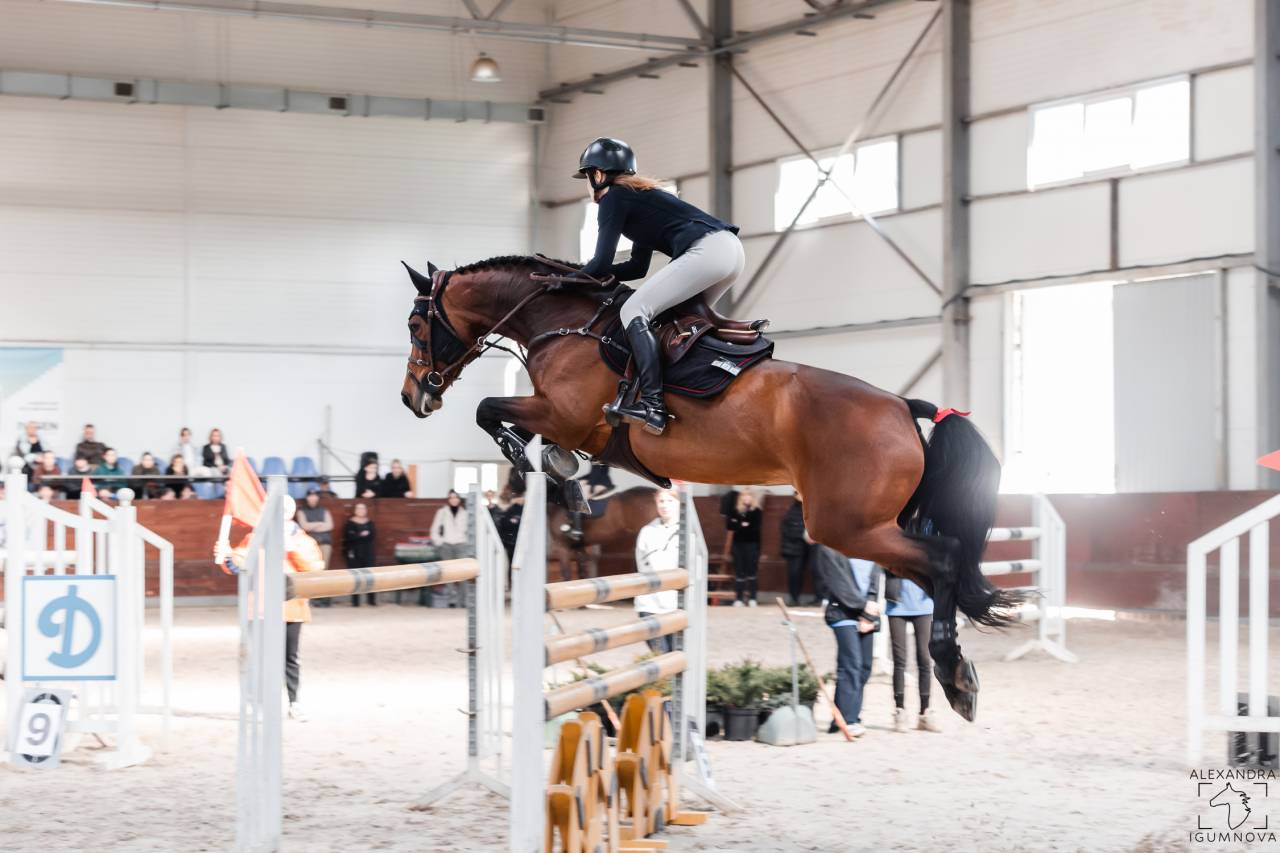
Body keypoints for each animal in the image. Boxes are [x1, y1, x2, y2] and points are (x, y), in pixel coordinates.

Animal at [398, 255, 1022, 721]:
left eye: (415, 325)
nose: (414, 396)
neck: (563, 323)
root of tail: (902, 405)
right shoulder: (568, 423)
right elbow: (523, 432)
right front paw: (561, 477)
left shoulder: (564, 415)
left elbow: (490, 409)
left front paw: (538, 465)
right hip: (868, 526)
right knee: (936, 571)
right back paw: (958, 671)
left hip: (845, 524)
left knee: (943, 558)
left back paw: (953, 675)